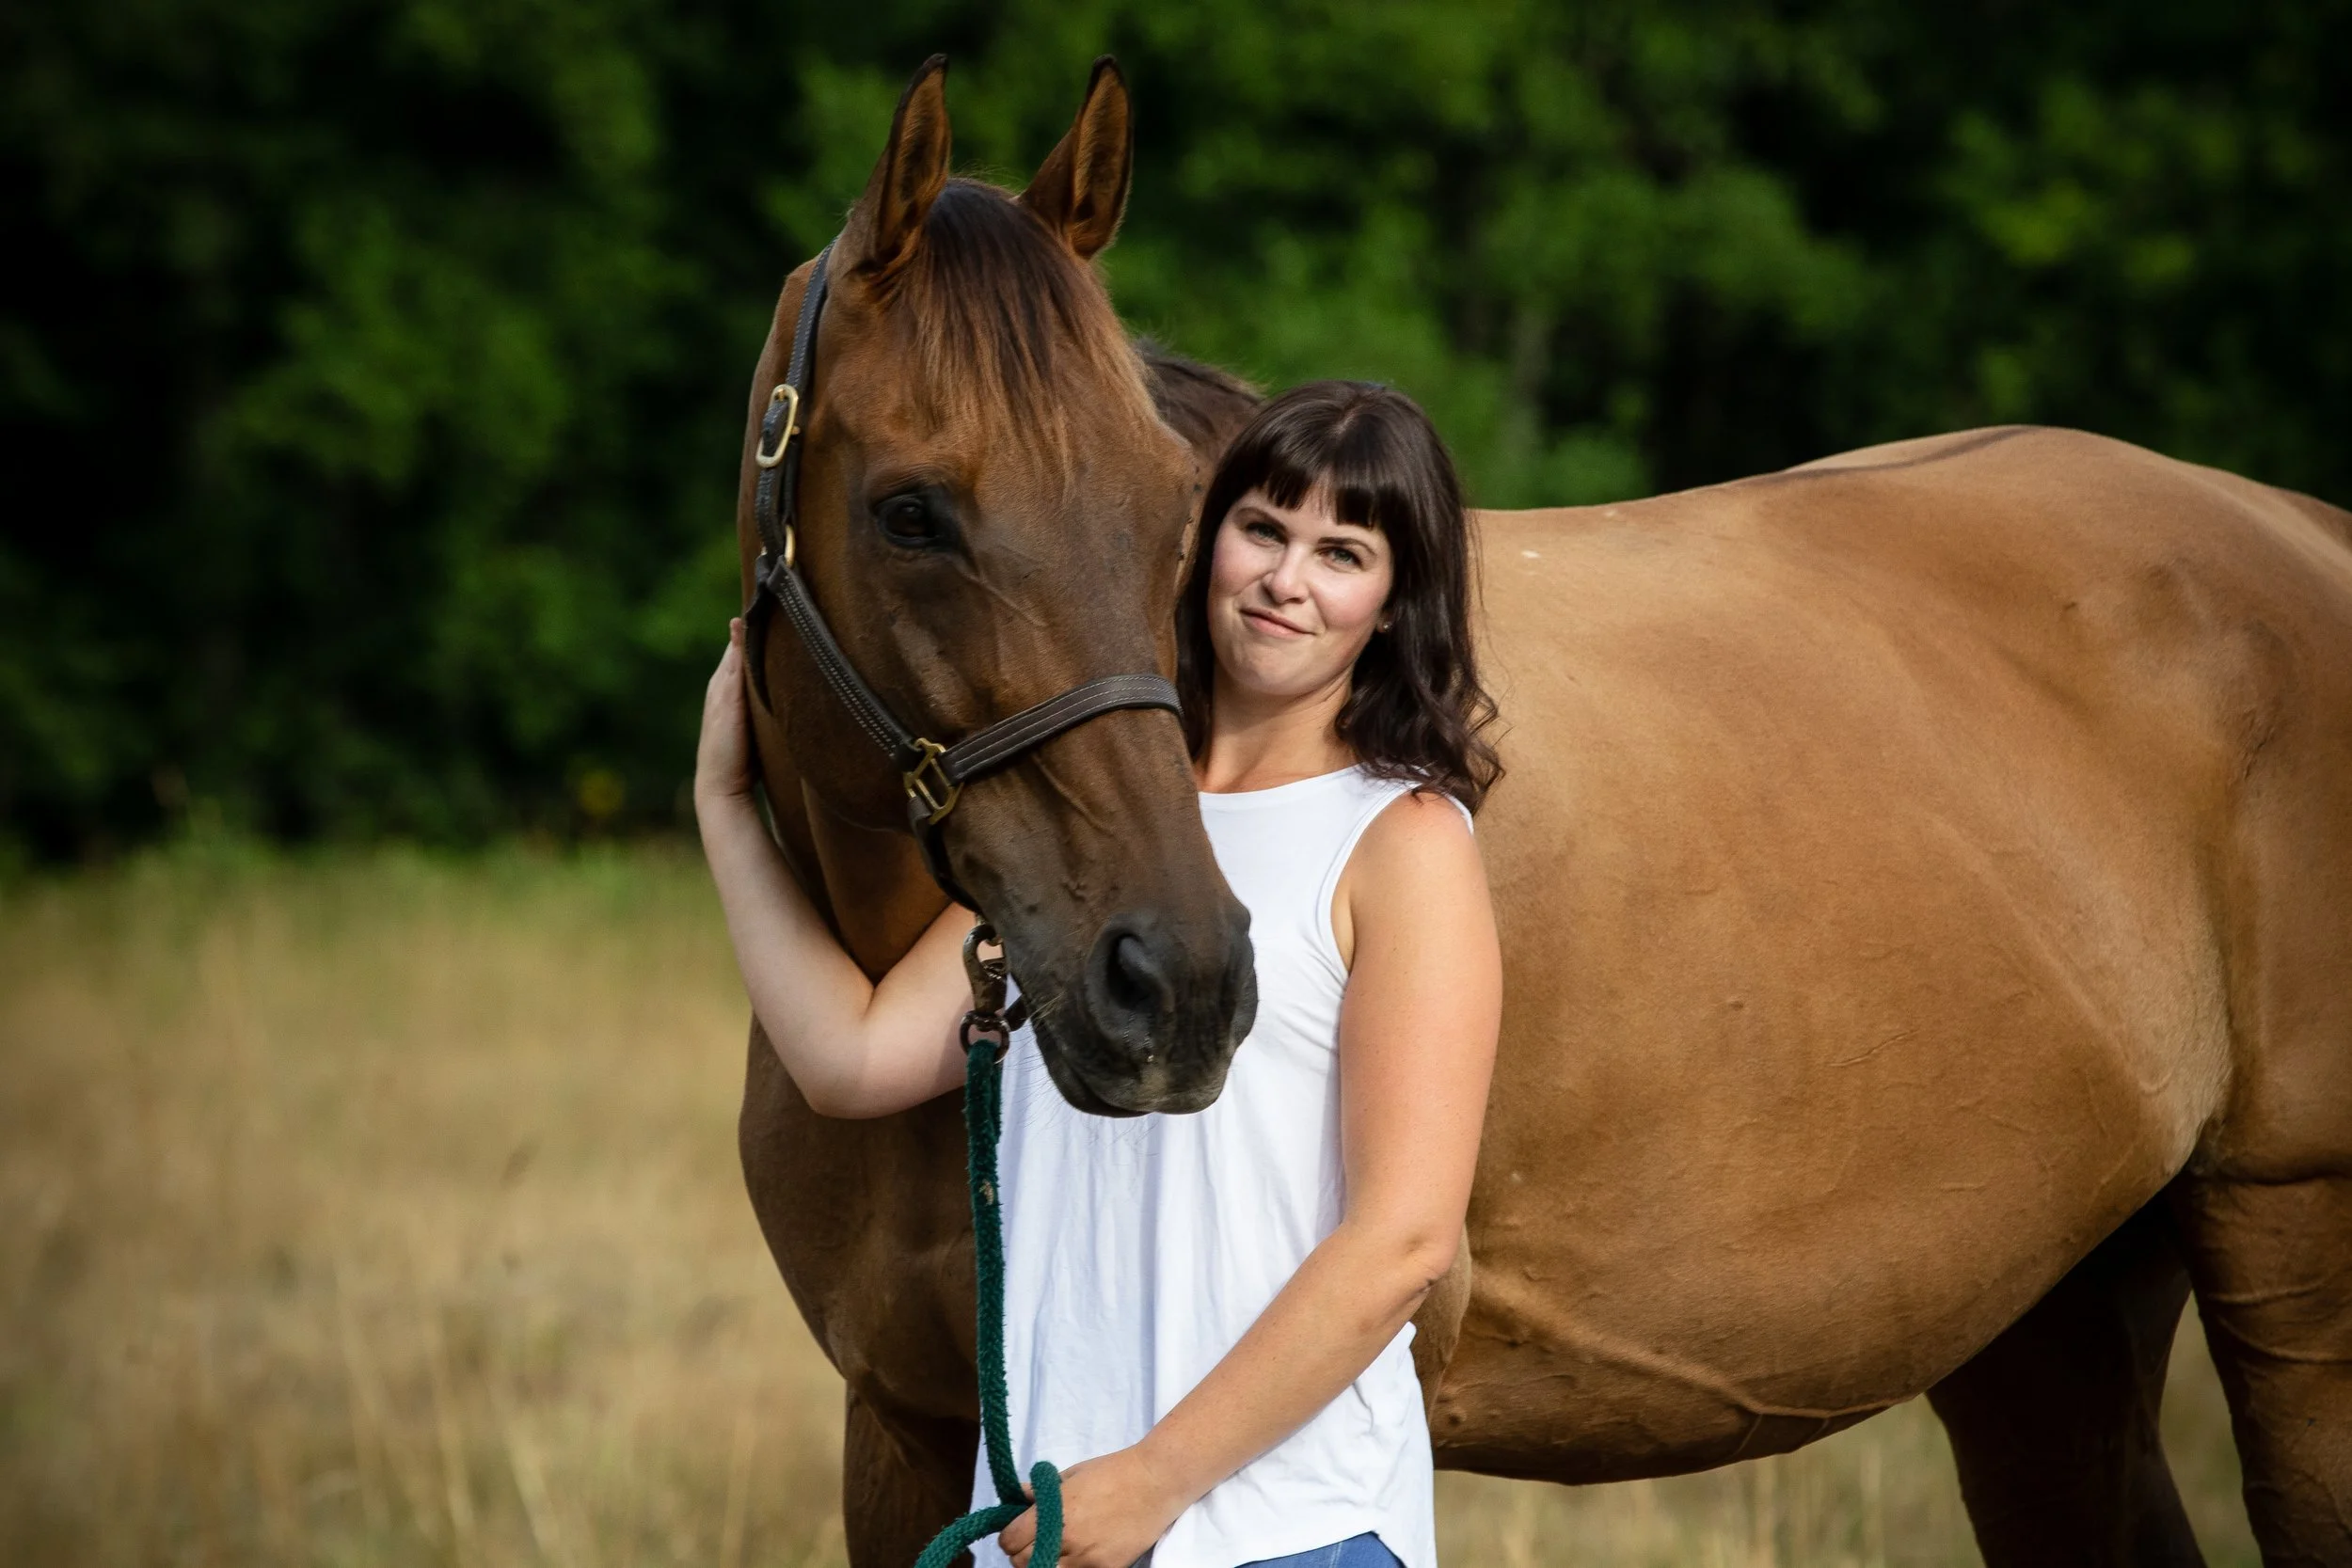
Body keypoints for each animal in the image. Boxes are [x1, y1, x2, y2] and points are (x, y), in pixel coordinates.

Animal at [734, 57, 2352, 1568]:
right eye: (909, 512)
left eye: (1175, 501)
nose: (1177, 986)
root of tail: (2298, 529)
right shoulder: (909, 1430)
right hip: (2048, 1321)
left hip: (2291, 1258)